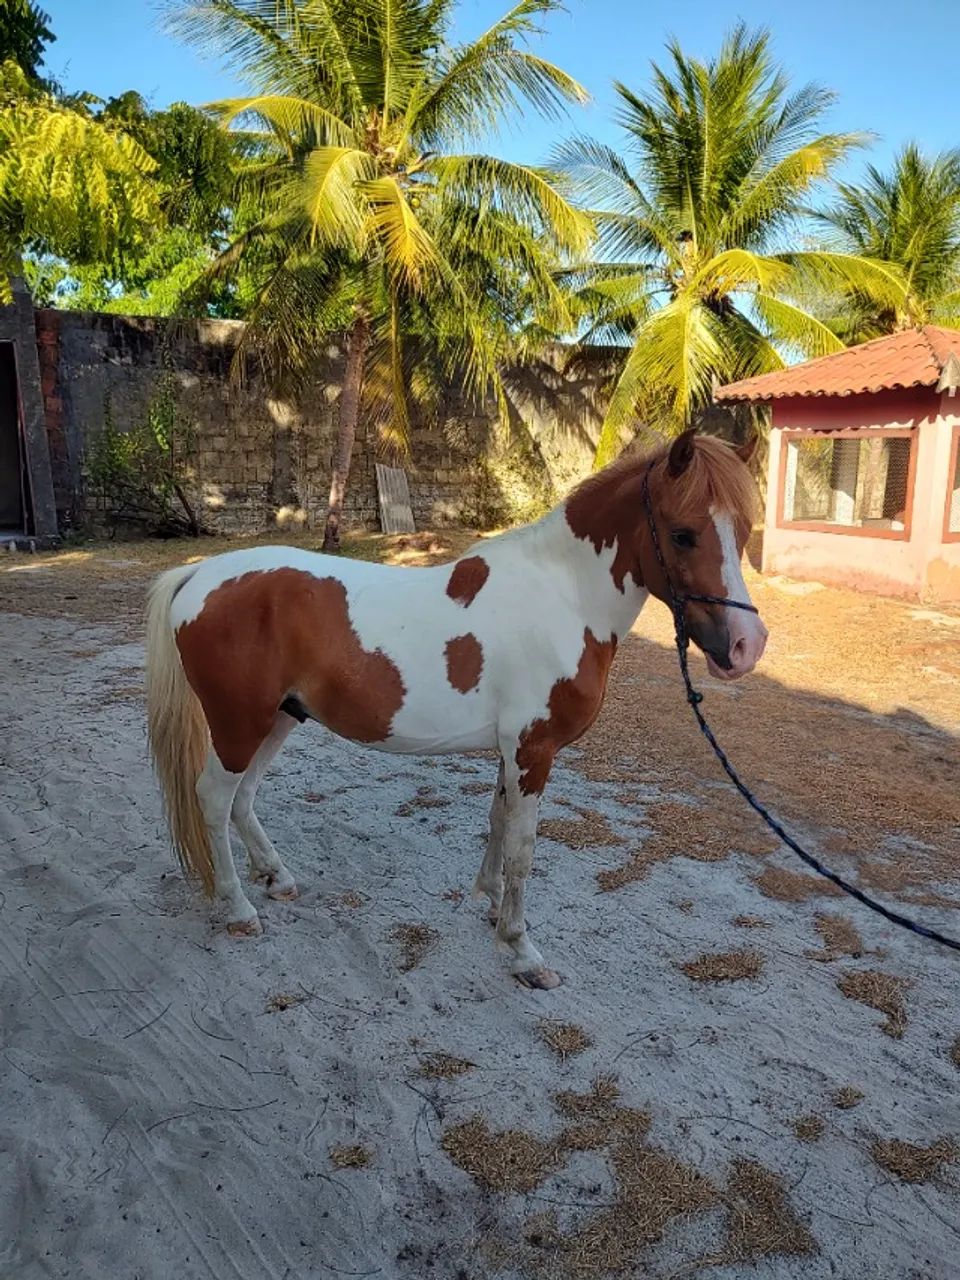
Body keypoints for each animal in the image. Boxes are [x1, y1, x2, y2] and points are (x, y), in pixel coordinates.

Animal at [145, 429, 767, 989]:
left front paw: (490, 905)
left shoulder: (512, 751)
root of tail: (199, 574)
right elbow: (522, 849)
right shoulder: (534, 750)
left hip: (276, 719)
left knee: (243, 798)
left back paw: (276, 878)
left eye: (743, 530)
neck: (561, 598)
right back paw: (239, 910)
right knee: (214, 799)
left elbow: (497, 822)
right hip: (238, 724)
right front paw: (522, 951)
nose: (746, 646)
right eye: (683, 534)